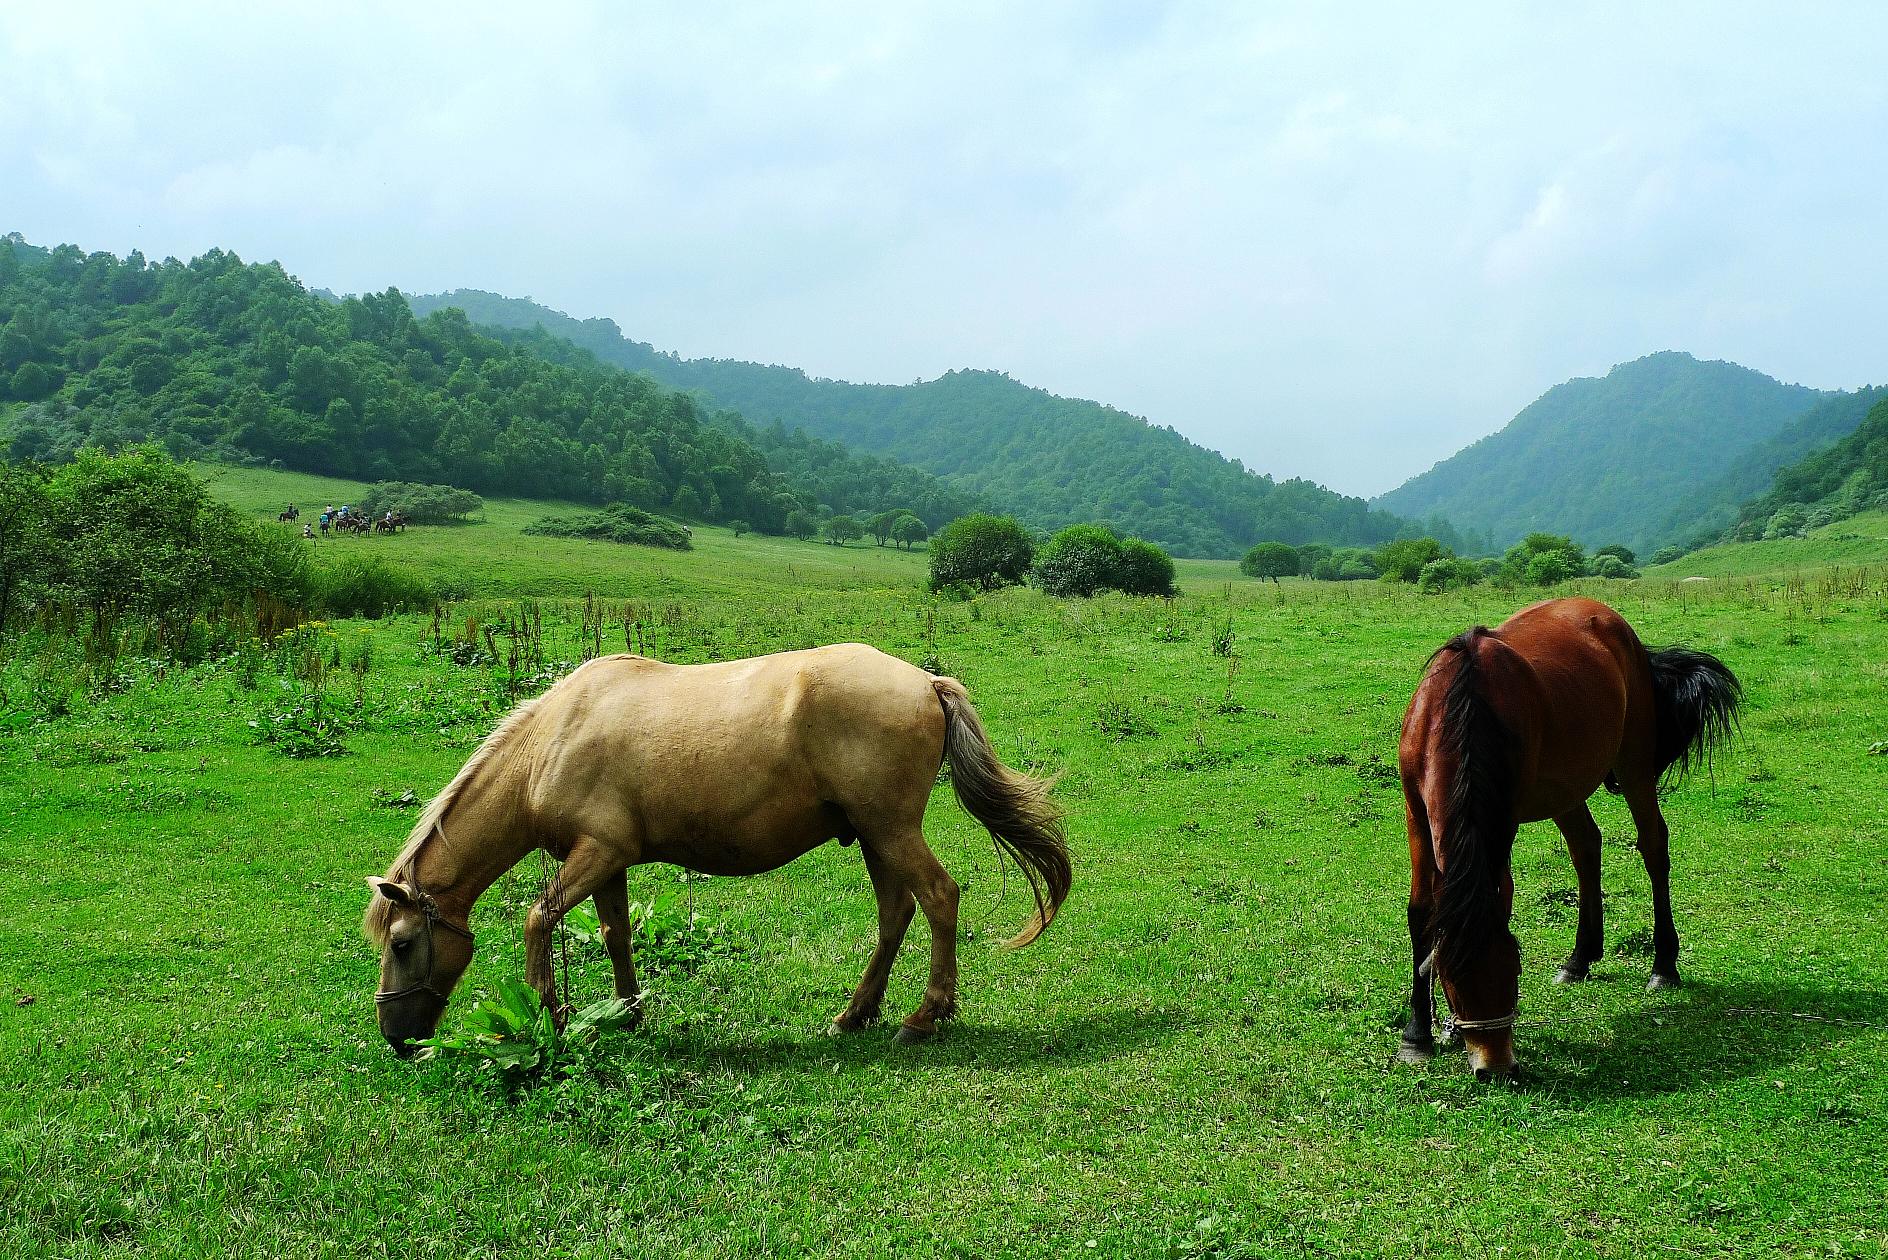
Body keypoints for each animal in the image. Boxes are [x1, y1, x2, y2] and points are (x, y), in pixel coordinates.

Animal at [360, 642, 1072, 1057]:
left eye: (403, 943)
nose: (396, 1038)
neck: (550, 741)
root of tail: (927, 683)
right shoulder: (608, 860)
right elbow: (616, 934)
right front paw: (628, 1014)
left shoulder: (597, 853)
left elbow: (539, 920)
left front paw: (551, 1018)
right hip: (875, 835)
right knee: (895, 914)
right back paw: (855, 1014)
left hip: (891, 829)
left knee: (940, 899)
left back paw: (926, 1016)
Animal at [1389, 596, 1736, 1080]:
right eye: (1453, 981)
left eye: (1514, 972)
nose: (1496, 1067)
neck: (1460, 706)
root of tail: (1615, 623)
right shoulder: (1415, 811)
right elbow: (1421, 913)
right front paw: (1418, 1033)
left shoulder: (1503, 817)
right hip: (1566, 789)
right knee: (1586, 847)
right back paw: (1581, 958)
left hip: (1633, 764)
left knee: (1653, 846)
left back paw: (1664, 965)